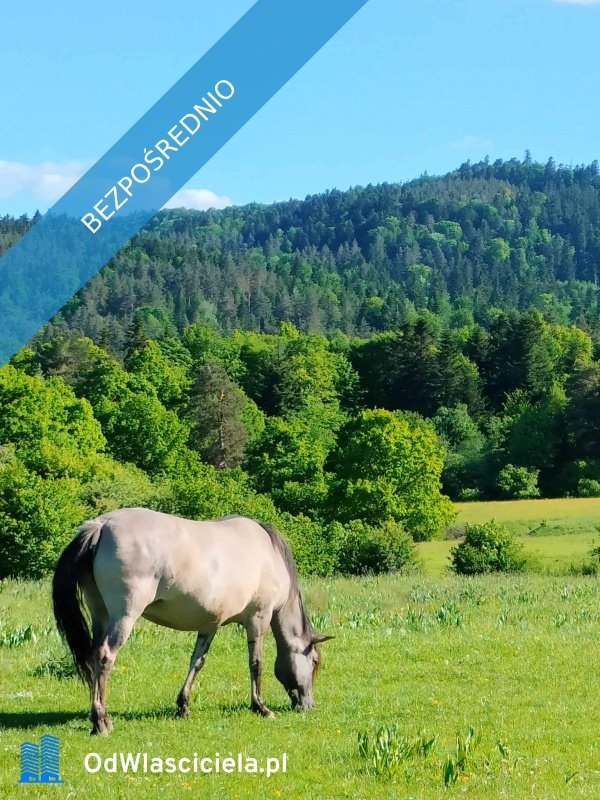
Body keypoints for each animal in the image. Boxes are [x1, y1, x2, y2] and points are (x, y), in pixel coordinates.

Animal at [51, 510, 332, 736]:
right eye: (314, 662)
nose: (309, 705)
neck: (269, 556)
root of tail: (101, 526)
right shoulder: (258, 619)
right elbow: (256, 663)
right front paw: (260, 707)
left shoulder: (209, 625)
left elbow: (197, 662)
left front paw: (183, 705)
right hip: (123, 617)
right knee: (104, 658)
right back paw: (101, 722)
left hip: (101, 615)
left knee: (92, 659)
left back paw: (96, 717)